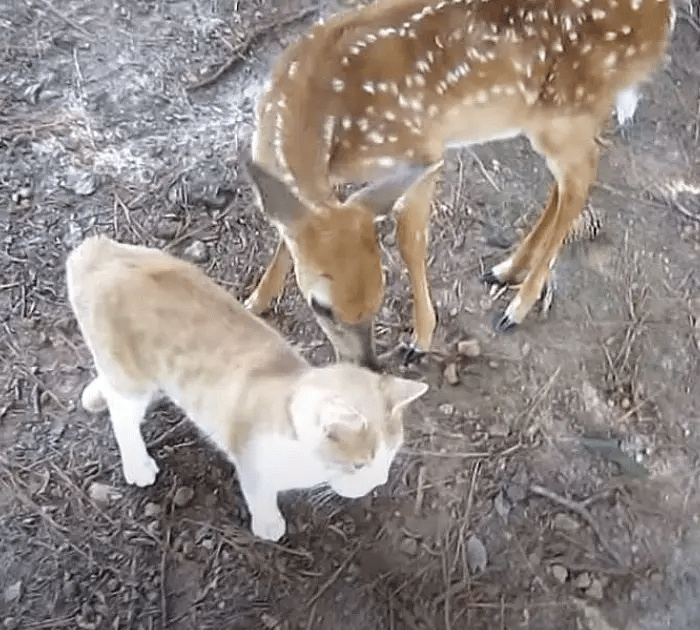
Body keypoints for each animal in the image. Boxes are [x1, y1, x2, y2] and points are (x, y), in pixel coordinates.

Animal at [67, 237, 426, 544]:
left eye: (389, 458)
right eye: (360, 465)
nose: (378, 482)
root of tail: (99, 250)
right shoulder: (251, 458)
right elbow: (258, 491)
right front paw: (268, 523)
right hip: (130, 377)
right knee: (123, 414)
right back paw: (136, 463)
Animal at [243, 0, 676, 370]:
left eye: (380, 294)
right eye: (321, 306)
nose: (367, 366)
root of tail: (663, 18)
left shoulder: (420, 151)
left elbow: (410, 243)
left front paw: (421, 340)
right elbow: (287, 236)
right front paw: (255, 302)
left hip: (564, 110)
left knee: (580, 179)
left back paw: (517, 307)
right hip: (563, 114)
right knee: (574, 178)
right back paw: (508, 269)